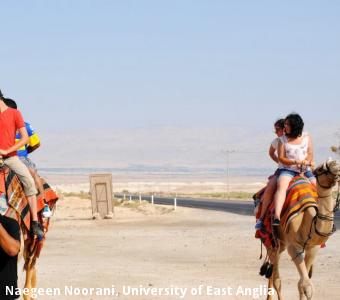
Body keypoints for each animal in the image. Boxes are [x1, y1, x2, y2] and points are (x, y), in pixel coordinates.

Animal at [258, 158, 340, 298]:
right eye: (321, 169)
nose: (335, 164)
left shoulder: (313, 248)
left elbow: (302, 286)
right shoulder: (293, 246)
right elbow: (306, 286)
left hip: (281, 244)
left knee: (273, 273)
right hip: (272, 241)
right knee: (275, 277)